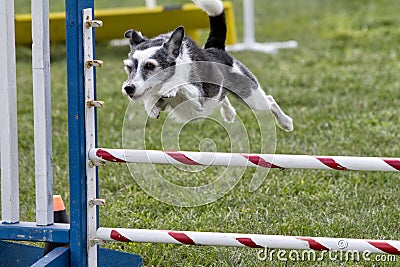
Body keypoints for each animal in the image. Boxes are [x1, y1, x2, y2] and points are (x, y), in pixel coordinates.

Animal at [120, 0, 292, 132]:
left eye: (149, 66)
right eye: (129, 67)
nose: (128, 88)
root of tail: (215, 49)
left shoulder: (198, 100)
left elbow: (181, 85)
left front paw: (170, 87)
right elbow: (151, 105)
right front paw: (154, 103)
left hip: (251, 95)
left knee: (270, 101)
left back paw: (286, 123)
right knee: (222, 97)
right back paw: (229, 113)